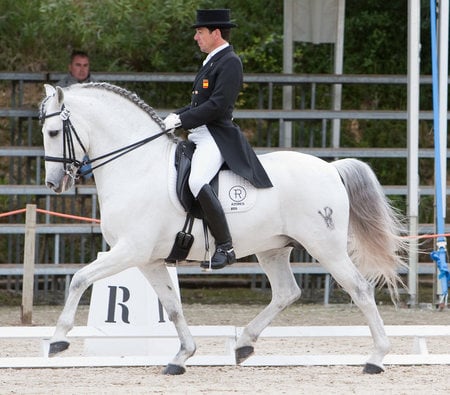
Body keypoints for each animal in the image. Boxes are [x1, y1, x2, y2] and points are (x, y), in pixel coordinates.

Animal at [40, 83, 406, 374]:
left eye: (54, 132)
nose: (54, 183)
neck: (138, 167)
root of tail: (331, 169)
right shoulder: (148, 260)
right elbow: (172, 307)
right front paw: (182, 356)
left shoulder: (131, 250)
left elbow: (80, 279)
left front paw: (57, 340)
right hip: (273, 248)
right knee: (286, 292)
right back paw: (243, 344)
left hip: (325, 247)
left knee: (360, 289)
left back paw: (376, 359)